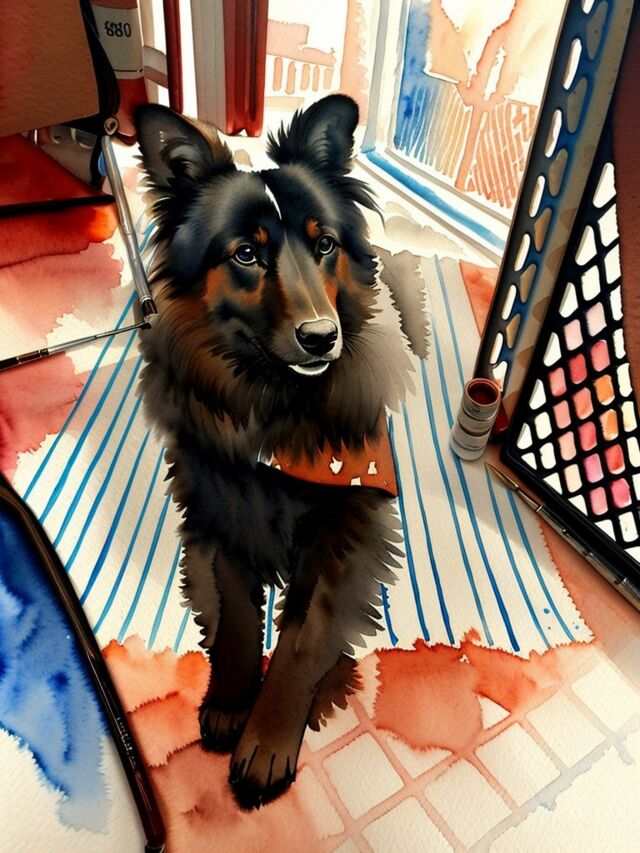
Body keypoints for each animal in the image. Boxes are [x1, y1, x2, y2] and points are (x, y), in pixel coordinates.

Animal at [135, 95, 414, 808]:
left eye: (324, 244)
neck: (275, 408)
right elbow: (236, 616)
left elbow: (305, 635)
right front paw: (233, 703)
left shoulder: (349, 523)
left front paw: (267, 741)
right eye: (246, 254)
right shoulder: (223, 509)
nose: (322, 338)